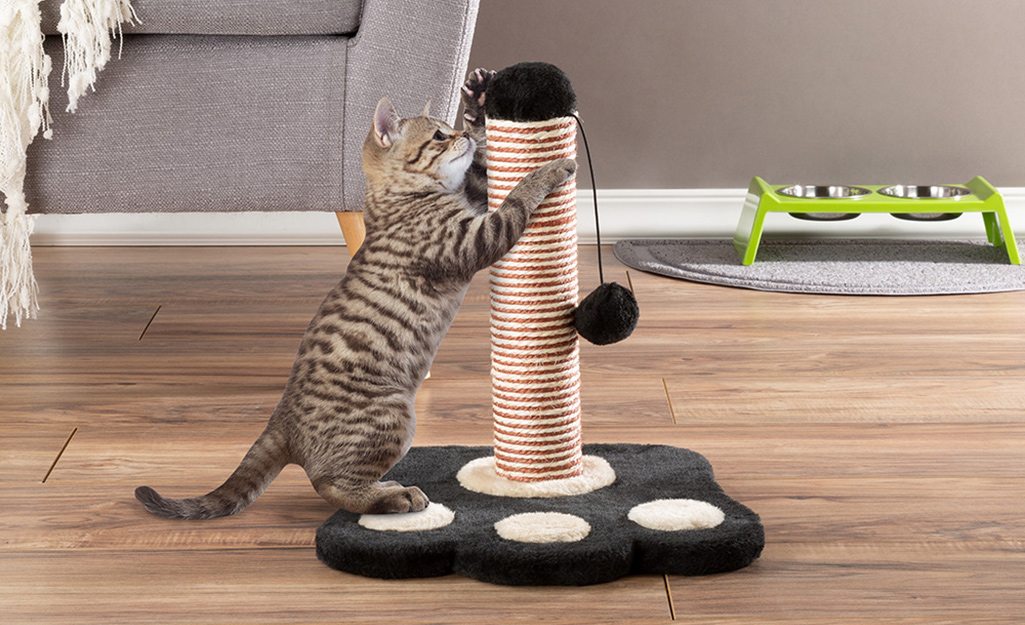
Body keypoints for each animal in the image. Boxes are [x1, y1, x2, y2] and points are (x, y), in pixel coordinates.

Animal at [134, 69, 578, 516]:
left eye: (451, 128)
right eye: (439, 136)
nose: (461, 135)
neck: (400, 196)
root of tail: (282, 420)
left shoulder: (474, 197)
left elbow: (485, 167)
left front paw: (479, 99)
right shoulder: (476, 238)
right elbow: (518, 197)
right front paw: (550, 168)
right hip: (393, 415)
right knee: (330, 485)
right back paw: (393, 496)